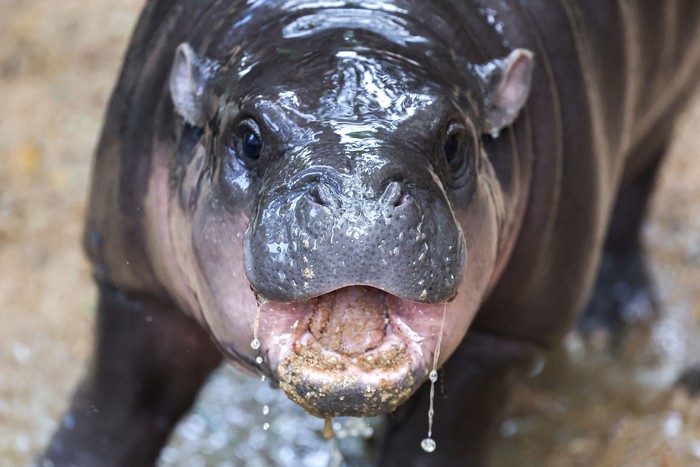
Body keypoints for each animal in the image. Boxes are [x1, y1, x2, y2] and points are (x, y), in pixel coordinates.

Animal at [39, 0, 700, 466]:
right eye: (247, 138)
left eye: (455, 142)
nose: (357, 189)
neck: (353, 20)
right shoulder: (136, 292)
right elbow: (106, 422)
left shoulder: (503, 338)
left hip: (665, 105)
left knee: (638, 185)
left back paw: (613, 321)